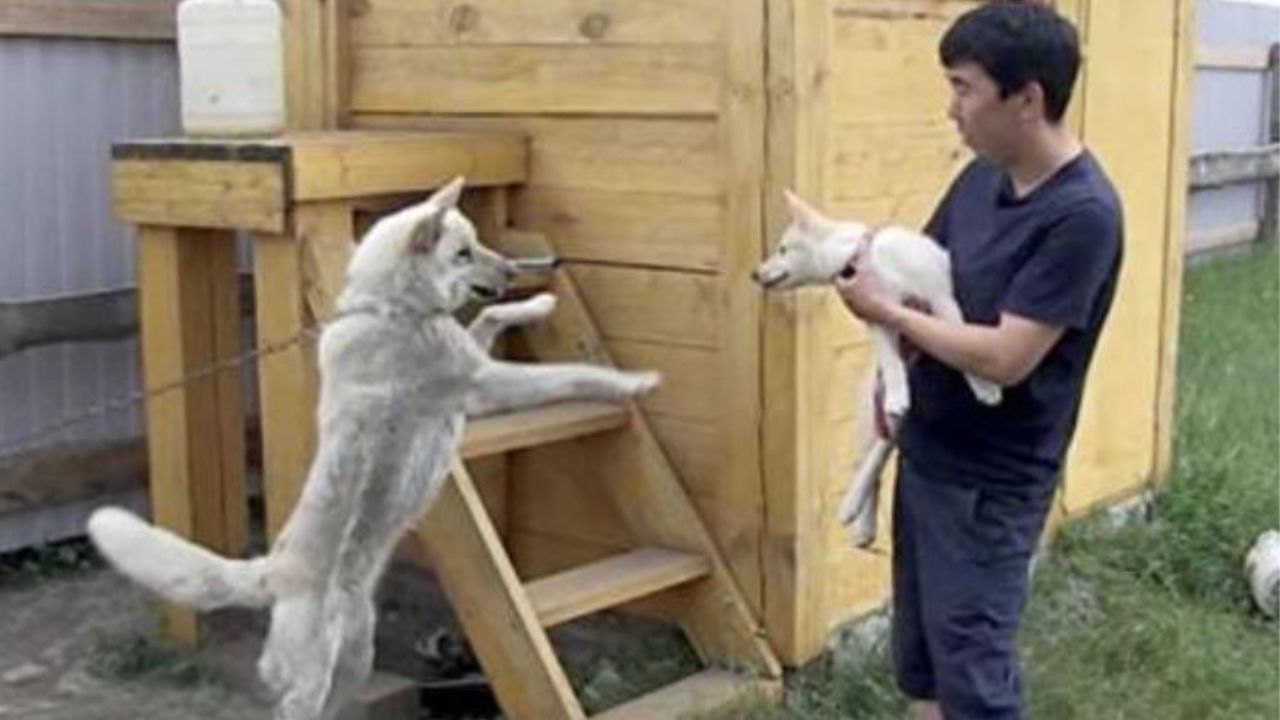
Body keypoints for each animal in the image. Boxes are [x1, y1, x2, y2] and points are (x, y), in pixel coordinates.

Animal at [87, 175, 660, 717]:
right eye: (463, 253)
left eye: (478, 242)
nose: (517, 272)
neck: (391, 308)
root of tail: (272, 572)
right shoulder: (484, 384)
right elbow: (571, 375)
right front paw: (635, 384)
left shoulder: (474, 369)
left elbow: (494, 316)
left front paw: (540, 302)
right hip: (319, 674)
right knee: (293, 707)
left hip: (357, 656)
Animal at [747, 190, 998, 543]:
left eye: (783, 248)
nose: (754, 274)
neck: (865, 256)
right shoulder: (879, 317)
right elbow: (891, 363)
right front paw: (897, 392)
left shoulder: (939, 298)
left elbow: (960, 334)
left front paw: (985, 386)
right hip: (869, 414)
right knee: (871, 457)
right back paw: (859, 515)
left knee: (881, 451)